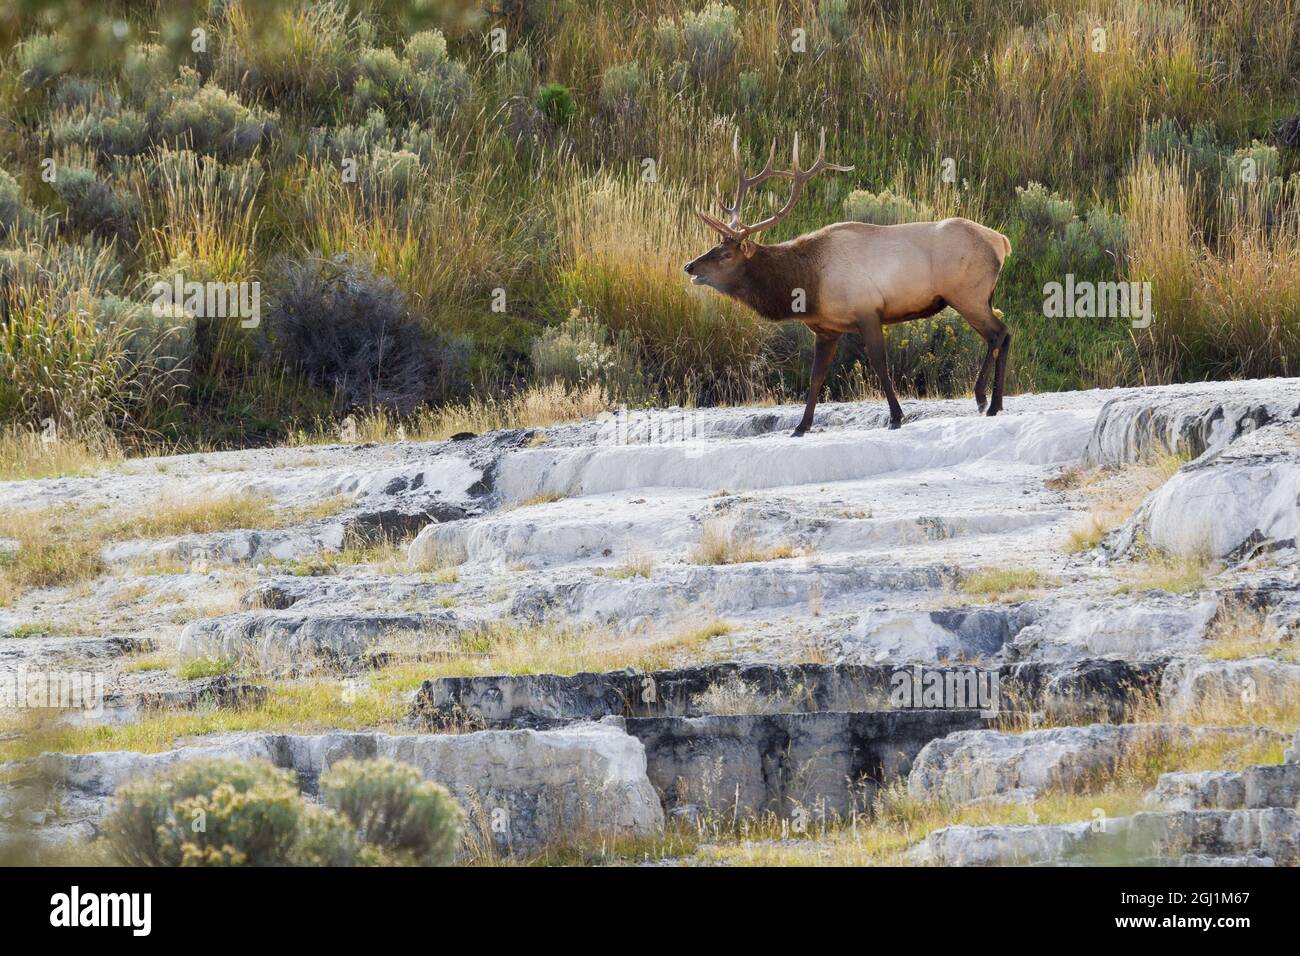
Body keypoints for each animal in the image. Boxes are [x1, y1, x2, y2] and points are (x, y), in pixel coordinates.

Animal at [686, 130, 1008, 437]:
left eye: (726, 254)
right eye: (714, 247)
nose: (689, 265)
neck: (808, 285)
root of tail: (1002, 241)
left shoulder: (868, 312)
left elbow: (879, 365)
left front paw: (896, 417)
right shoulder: (826, 329)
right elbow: (816, 376)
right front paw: (801, 426)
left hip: (968, 294)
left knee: (998, 333)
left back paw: (984, 400)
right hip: (980, 296)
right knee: (1002, 334)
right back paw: (994, 403)